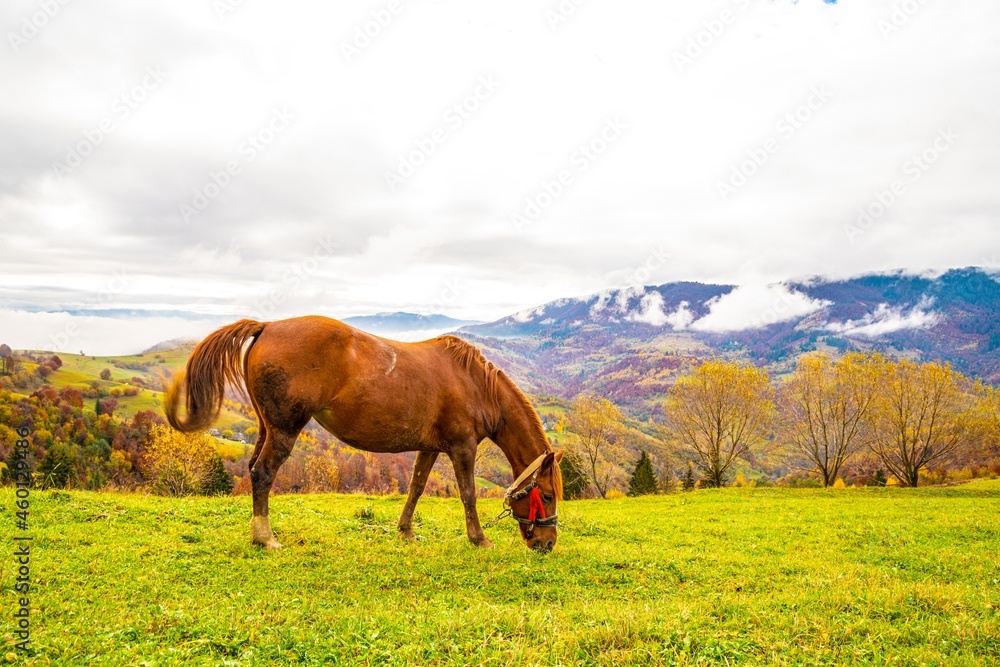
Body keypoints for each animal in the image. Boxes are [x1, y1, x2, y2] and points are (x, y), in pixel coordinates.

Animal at [164, 318, 564, 552]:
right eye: (546, 494)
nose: (547, 544)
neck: (476, 384)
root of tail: (267, 325)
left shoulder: (431, 448)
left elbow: (416, 487)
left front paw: (405, 530)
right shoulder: (462, 447)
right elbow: (467, 494)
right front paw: (478, 538)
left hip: (267, 427)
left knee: (252, 469)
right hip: (284, 430)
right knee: (263, 474)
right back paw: (265, 537)